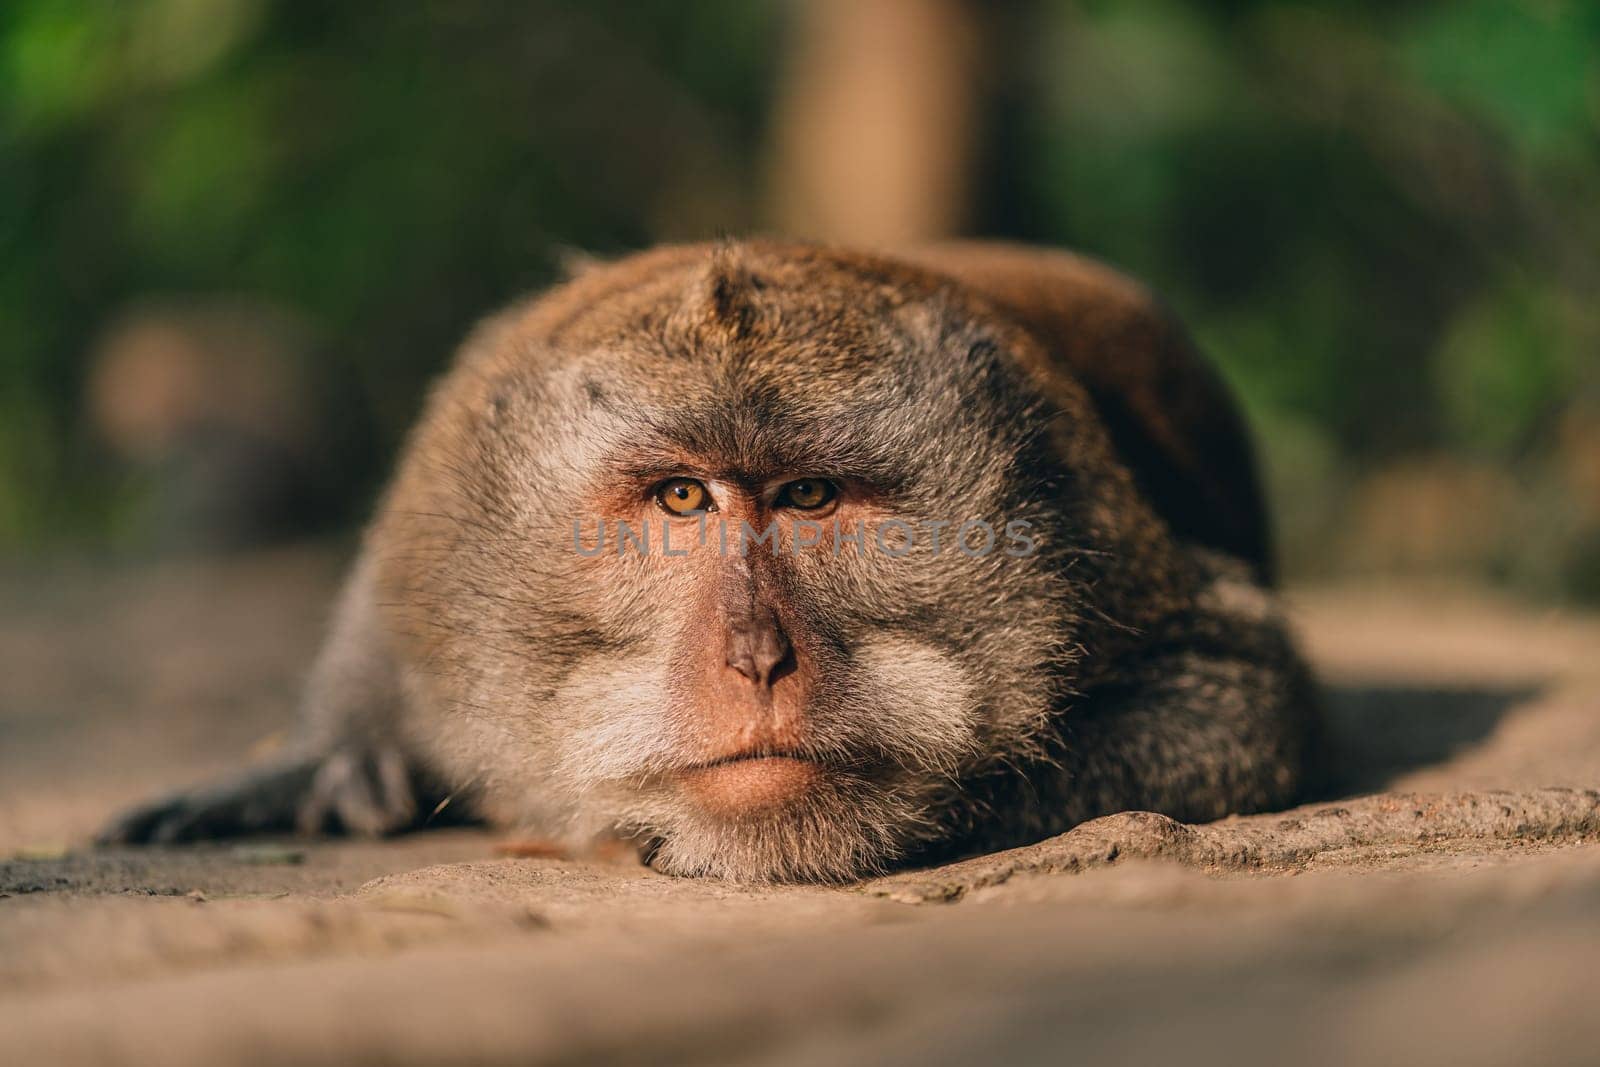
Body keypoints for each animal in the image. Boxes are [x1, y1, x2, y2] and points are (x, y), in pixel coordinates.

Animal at [103, 241, 1324, 883]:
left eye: (809, 496)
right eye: (682, 496)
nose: (757, 656)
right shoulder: (437, 517)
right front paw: (326, 753)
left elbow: (1240, 696)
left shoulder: (1099, 533)